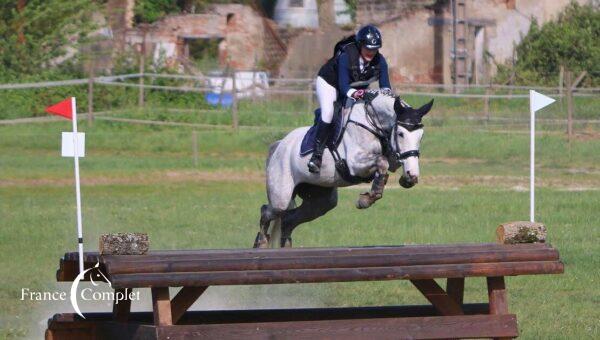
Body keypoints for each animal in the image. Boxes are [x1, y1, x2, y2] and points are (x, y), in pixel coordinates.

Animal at [253, 90, 432, 248]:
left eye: (421, 136)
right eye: (401, 133)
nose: (412, 175)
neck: (372, 122)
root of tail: (278, 146)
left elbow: (391, 163)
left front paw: (407, 178)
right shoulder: (355, 163)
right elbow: (382, 162)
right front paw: (366, 199)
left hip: (320, 200)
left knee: (289, 220)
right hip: (282, 195)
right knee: (268, 211)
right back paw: (261, 244)